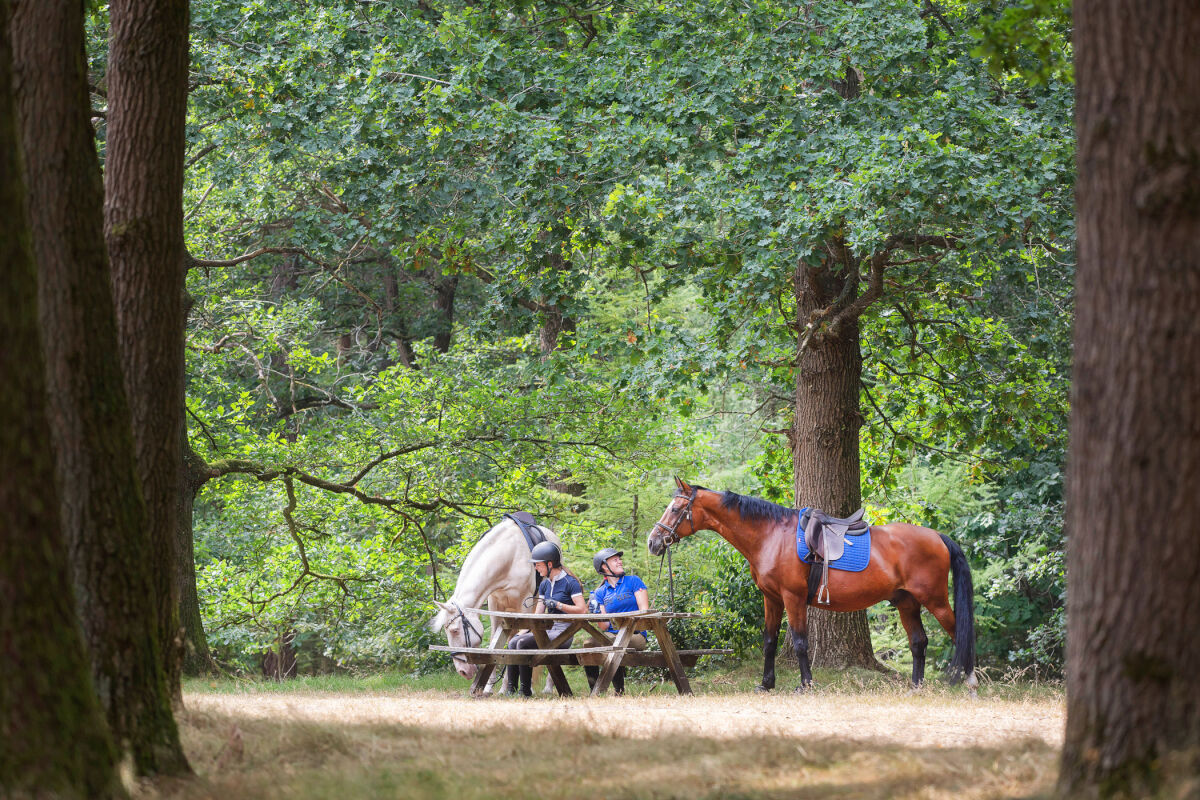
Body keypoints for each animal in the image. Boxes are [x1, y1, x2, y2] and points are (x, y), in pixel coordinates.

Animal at [432, 515, 561, 690]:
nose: (463, 671)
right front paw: (489, 687)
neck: (508, 558)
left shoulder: (523, 607)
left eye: (454, 631)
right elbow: (496, 640)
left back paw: (547, 687)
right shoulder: (495, 604)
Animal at [648, 479, 974, 690]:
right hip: (907, 602)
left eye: (675, 510)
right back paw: (916, 686)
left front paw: (805, 684)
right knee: (919, 642)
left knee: (960, 634)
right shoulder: (771, 599)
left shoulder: (792, 598)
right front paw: (766, 685)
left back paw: (970, 683)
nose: (653, 542)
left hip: (935, 600)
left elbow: (800, 642)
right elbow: (769, 642)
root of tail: (937, 536)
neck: (770, 536)